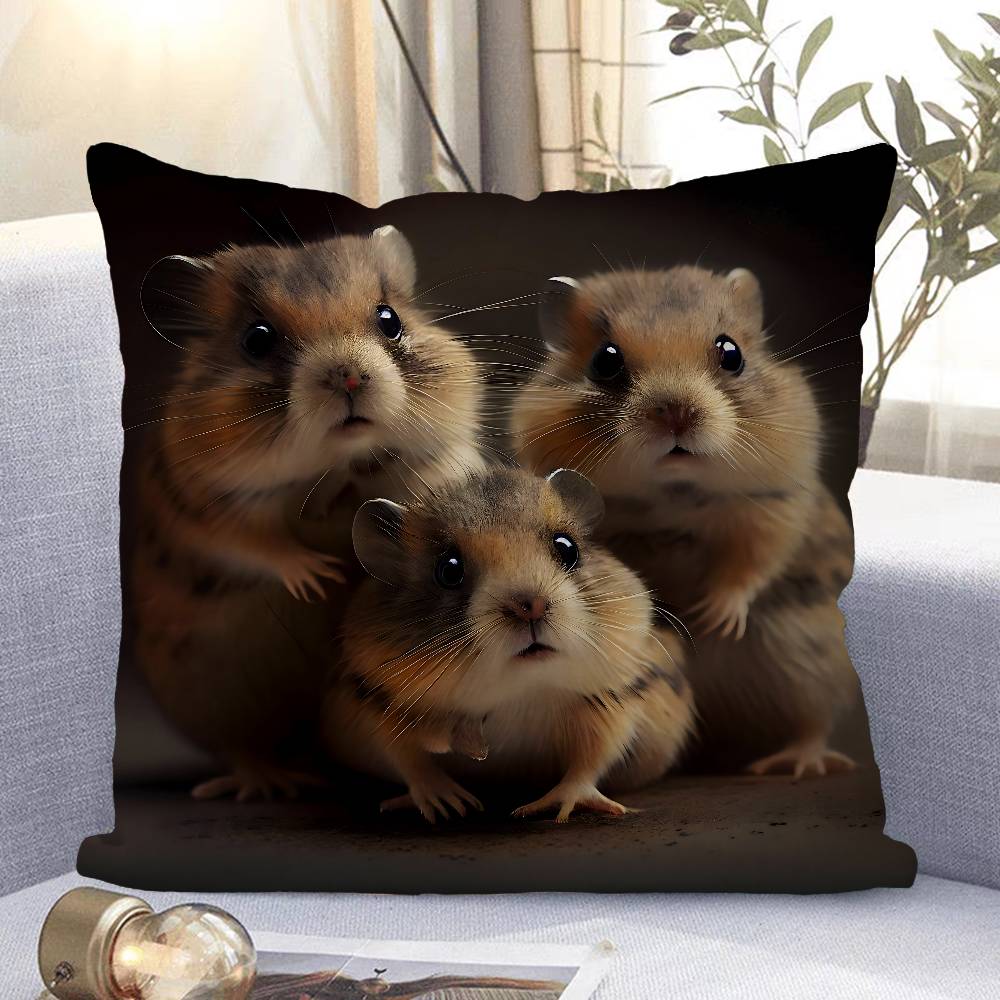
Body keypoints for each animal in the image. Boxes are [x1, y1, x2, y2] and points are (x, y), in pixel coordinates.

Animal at [132, 226, 484, 798]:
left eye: (390, 319)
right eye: (256, 339)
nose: (350, 379)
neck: (336, 465)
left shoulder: (443, 455)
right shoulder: (207, 507)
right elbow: (260, 545)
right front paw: (321, 578)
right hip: (213, 696)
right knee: (242, 747)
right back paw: (273, 783)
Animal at [324, 466, 693, 822]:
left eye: (567, 547)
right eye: (448, 569)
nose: (531, 606)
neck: (520, 694)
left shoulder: (611, 705)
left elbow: (587, 765)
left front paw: (550, 810)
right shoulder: (379, 714)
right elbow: (411, 763)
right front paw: (451, 805)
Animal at [511, 266, 858, 777]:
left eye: (731, 353)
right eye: (605, 361)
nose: (676, 414)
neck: (671, 495)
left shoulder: (772, 507)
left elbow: (749, 565)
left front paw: (714, 619)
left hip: (811, 661)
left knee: (814, 721)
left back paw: (794, 764)